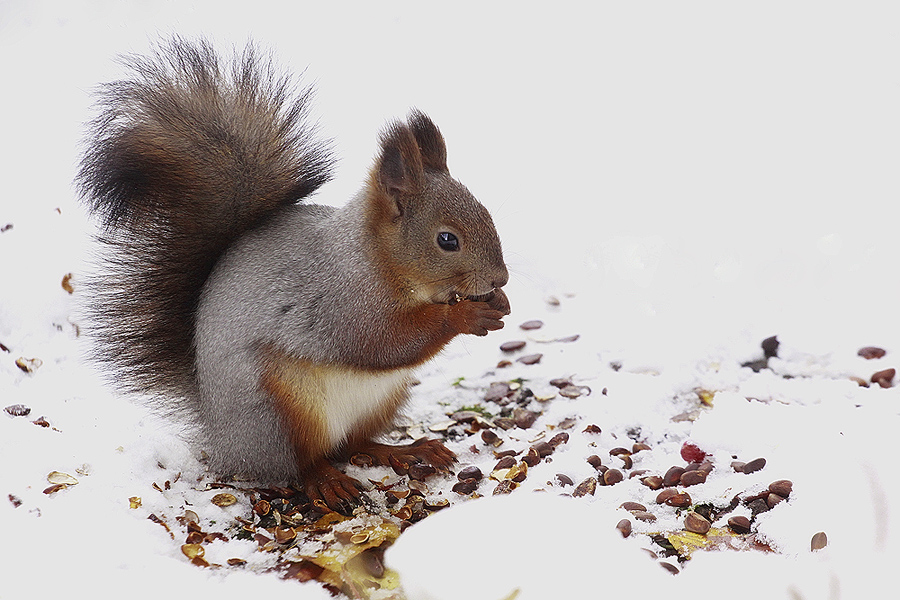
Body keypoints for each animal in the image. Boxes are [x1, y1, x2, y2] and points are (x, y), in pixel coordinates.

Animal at [77, 36, 510, 510]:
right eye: (447, 240)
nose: (501, 279)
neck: (375, 258)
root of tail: (222, 436)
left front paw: (498, 304)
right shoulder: (345, 302)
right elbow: (382, 342)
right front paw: (468, 315)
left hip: (380, 400)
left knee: (354, 444)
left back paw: (406, 450)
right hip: (280, 411)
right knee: (301, 461)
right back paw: (326, 480)